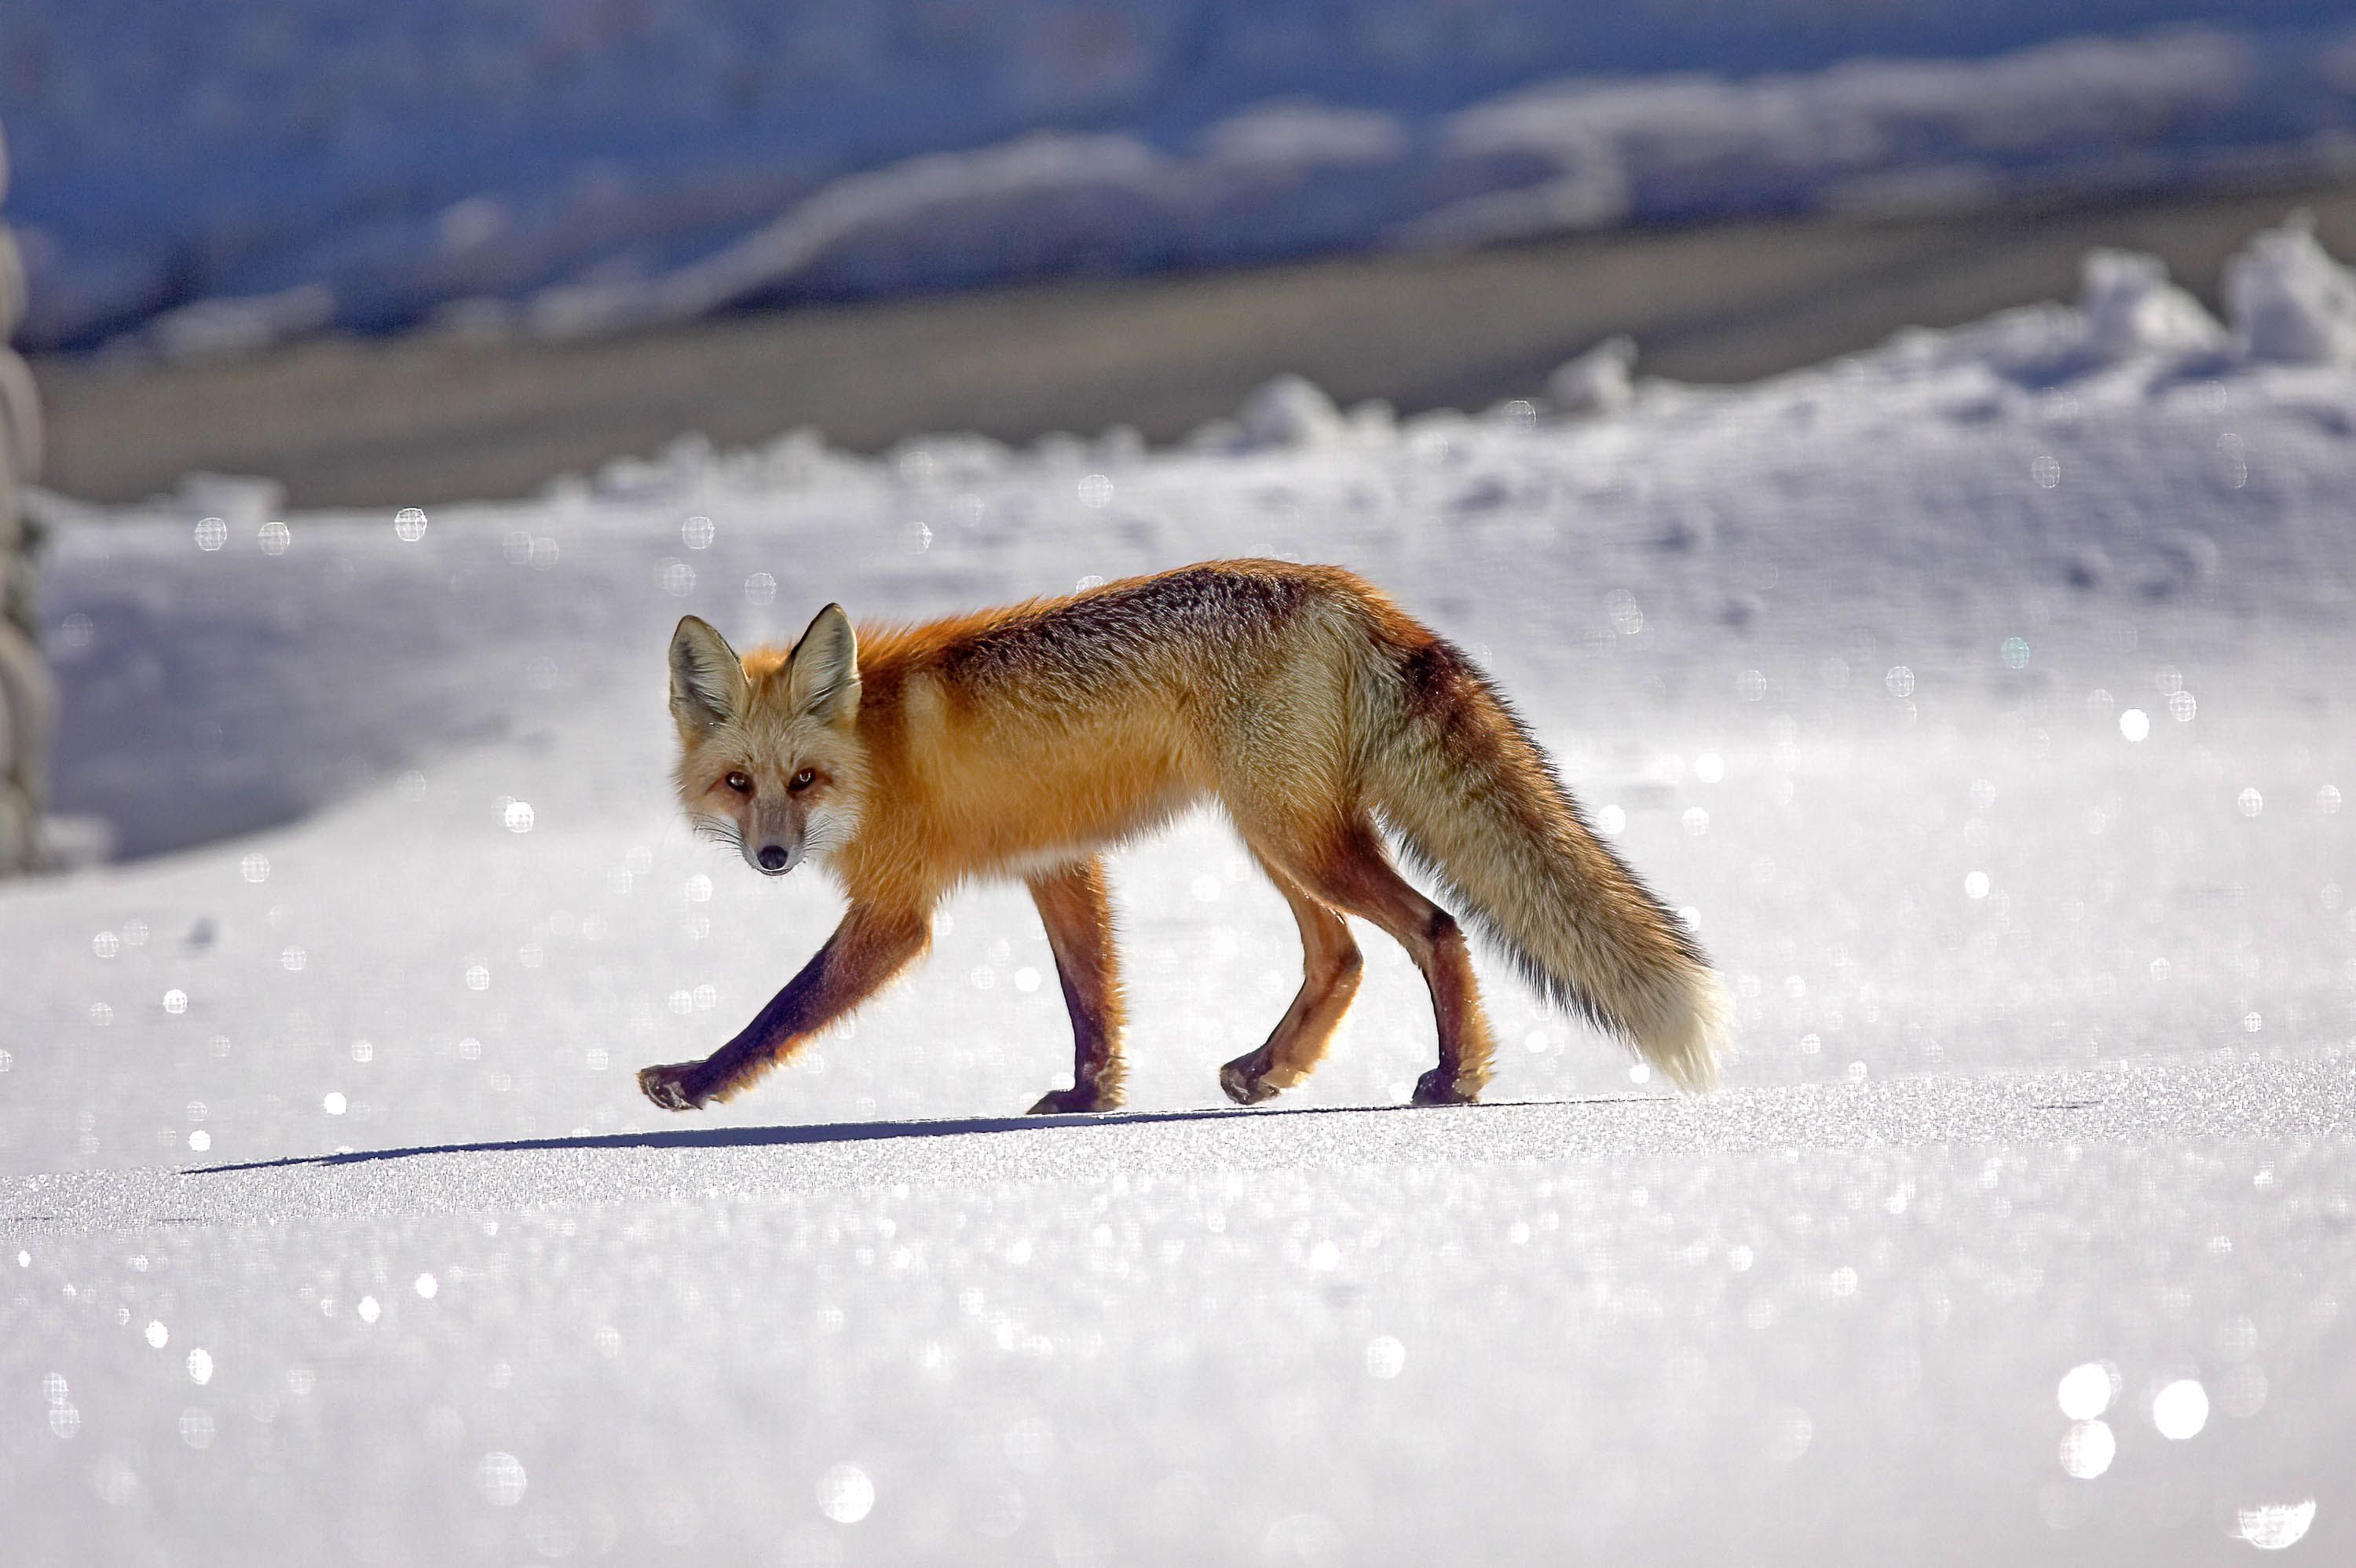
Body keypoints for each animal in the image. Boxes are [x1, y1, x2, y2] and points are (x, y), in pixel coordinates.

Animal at [637, 559, 1731, 1116]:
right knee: (1340, 956)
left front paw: (696, 1082)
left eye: (803, 781)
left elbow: (781, 1010)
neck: (877, 750)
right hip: (1276, 838)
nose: (772, 857)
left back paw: (1454, 1078)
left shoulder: (898, 911)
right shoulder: (1057, 864)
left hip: (1292, 834)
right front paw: (1093, 1098)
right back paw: (1269, 1070)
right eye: (738, 785)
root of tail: (1348, 588)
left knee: (1435, 928)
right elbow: (1092, 1002)